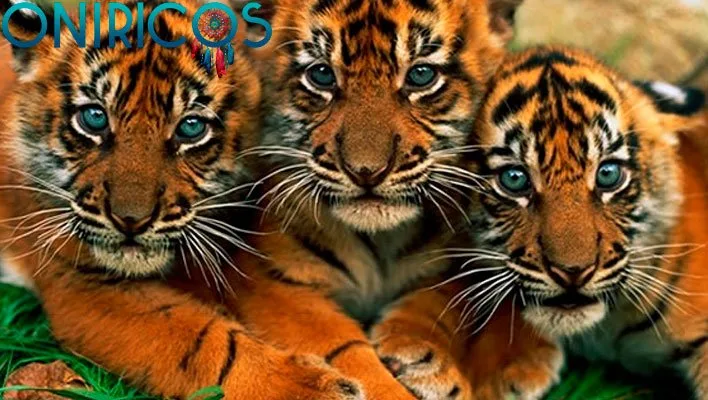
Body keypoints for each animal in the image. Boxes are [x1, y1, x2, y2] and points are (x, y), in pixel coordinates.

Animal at [0, 0, 372, 398]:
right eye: (95, 118)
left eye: (191, 128)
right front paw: (312, 387)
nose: (131, 220)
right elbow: (205, 343)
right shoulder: (81, 282)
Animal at [204, 0, 526, 398]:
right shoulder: (272, 281)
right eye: (322, 75)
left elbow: (438, 303)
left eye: (421, 75)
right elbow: (341, 346)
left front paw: (423, 356)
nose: (367, 171)